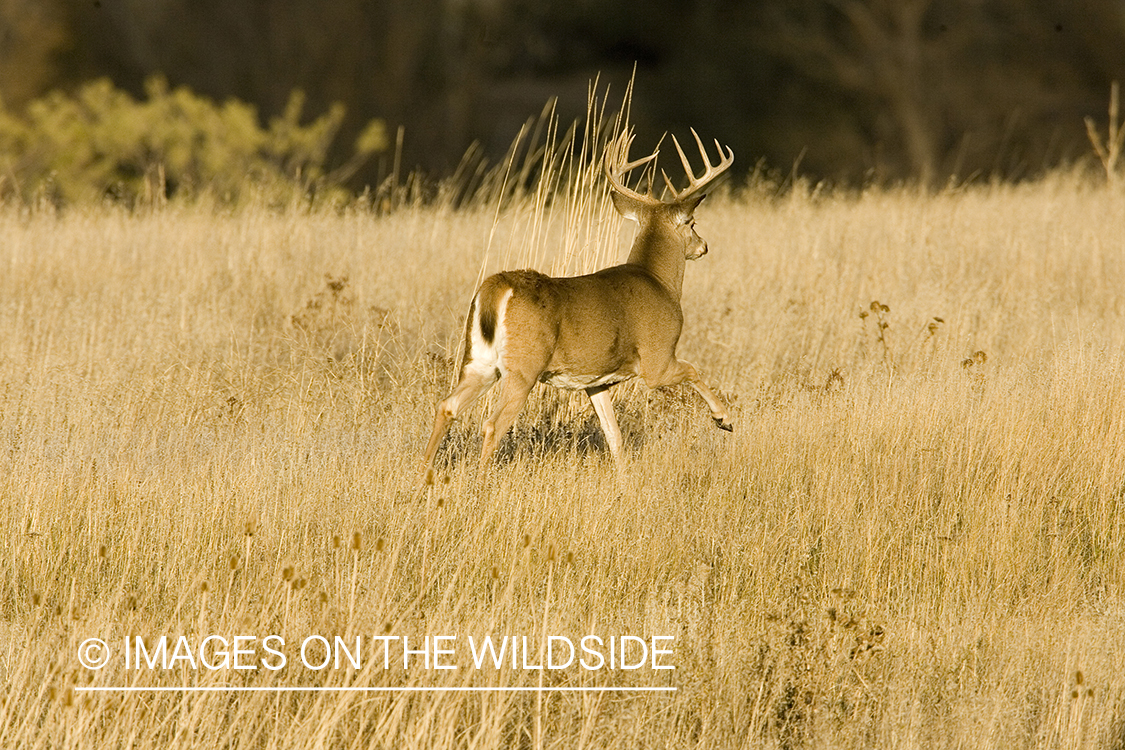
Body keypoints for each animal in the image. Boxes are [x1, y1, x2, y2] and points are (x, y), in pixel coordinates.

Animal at [418, 130, 733, 488]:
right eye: (692, 223)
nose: (703, 245)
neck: (658, 282)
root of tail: (496, 288)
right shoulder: (657, 358)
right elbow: (694, 369)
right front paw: (724, 418)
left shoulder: (596, 381)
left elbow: (614, 435)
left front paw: (625, 484)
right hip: (523, 367)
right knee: (492, 424)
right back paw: (480, 483)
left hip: (479, 362)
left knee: (447, 406)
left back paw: (421, 474)